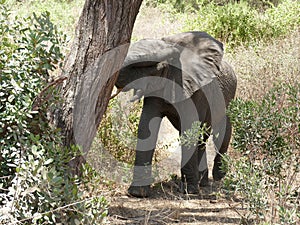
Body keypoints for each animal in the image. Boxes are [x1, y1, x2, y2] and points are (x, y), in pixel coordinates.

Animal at [114, 31, 237, 197]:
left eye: (151, 65)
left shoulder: (193, 90)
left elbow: (187, 130)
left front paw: (189, 191)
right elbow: (146, 128)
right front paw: (137, 193)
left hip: (228, 95)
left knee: (222, 131)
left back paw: (217, 177)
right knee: (202, 139)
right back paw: (202, 183)